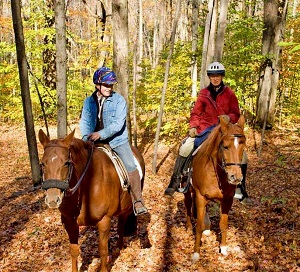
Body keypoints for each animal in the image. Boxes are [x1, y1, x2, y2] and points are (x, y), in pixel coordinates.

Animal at [38, 129, 145, 272]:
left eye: (67, 163)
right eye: (42, 164)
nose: (52, 199)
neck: (85, 188)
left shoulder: (104, 221)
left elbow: (103, 251)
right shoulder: (69, 223)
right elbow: (74, 251)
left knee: (122, 222)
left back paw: (118, 247)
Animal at [185, 115, 246, 262]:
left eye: (243, 147)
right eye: (225, 147)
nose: (235, 177)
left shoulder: (227, 200)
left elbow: (223, 224)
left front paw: (223, 248)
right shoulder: (200, 196)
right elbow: (199, 226)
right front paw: (196, 252)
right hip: (187, 191)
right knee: (188, 205)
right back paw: (189, 227)